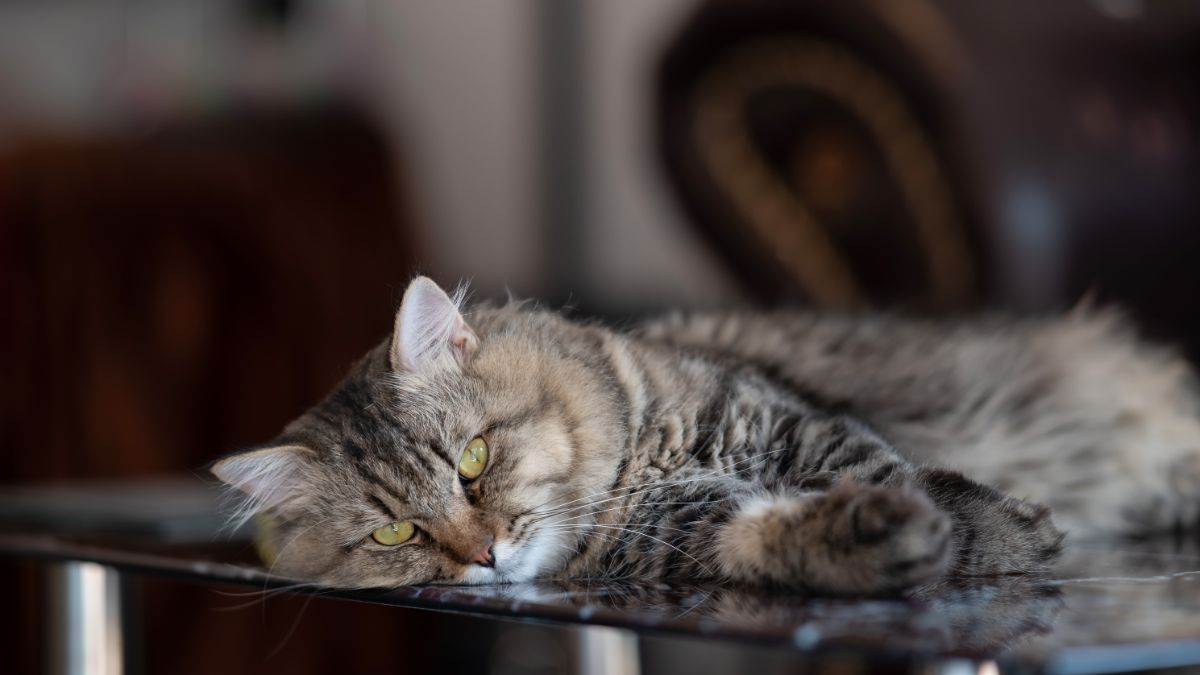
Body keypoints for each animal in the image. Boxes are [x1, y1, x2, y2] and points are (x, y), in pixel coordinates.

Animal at [211, 276, 1200, 590]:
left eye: (473, 461)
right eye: (395, 532)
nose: (485, 554)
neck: (642, 472)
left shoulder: (794, 426)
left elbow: (908, 477)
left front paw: (1003, 536)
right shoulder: (690, 535)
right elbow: (773, 535)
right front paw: (878, 541)